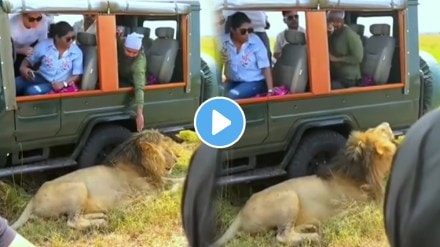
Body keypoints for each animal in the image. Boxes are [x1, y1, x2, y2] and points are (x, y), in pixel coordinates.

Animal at [9, 129, 186, 230]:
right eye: (166, 149)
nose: (177, 159)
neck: (141, 165)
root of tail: (33, 198)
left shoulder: (159, 181)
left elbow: (177, 180)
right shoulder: (146, 192)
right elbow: (165, 192)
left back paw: (101, 215)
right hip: (78, 187)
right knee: (72, 221)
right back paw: (100, 222)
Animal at [211, 122, 400, 246]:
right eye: (382, 130)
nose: (387, 123)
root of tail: (241, 213)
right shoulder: (356, 206)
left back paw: (309, 226)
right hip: (289, 197)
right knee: (282, 236)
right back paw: (314, 236)